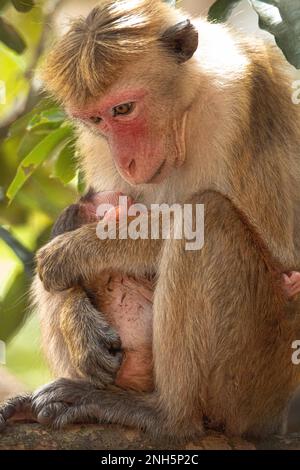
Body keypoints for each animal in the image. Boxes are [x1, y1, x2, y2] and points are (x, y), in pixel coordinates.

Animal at [1, 0, 300, 440]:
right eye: (96, 120)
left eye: (124, 109)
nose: (126, 160)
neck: (189, 107)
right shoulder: (96, 145)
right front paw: (77, 320)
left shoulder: (243, 98)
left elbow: (280, 253)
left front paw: (78, 250)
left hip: (261, 377)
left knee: (210, 218)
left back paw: (168, 416)